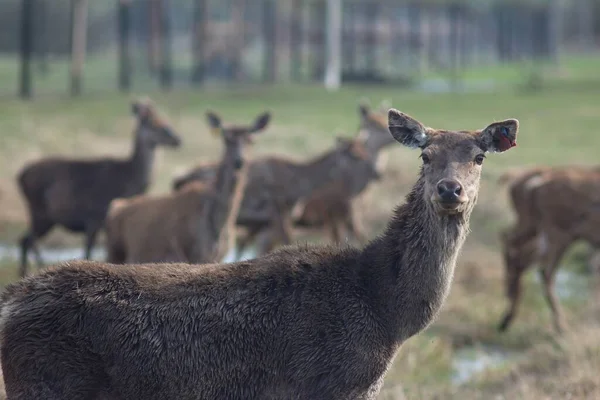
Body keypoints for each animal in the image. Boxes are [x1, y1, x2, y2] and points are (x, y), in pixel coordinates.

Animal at [15, 98, 180, 276]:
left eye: (165, 120)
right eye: (156, 124)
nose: (178, 139)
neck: (129, 181)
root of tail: (20, 176)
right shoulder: (93, 218)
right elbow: (87, 251)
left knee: (24, 240)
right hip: (40, 213)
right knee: (28, 240)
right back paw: (37, 267)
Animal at [105, 111, 270, 264]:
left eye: (251, 140)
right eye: (226, 139)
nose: (239, 161)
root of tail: (115, 207)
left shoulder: (218, 257)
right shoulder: (191, 253)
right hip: (116, 251)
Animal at [500, 166, 600, 334]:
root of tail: (536, 184)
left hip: (534, 227)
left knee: (512, 246)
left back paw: (506, 316)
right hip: (558, 234)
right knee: (544, 271)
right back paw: (561, 326)